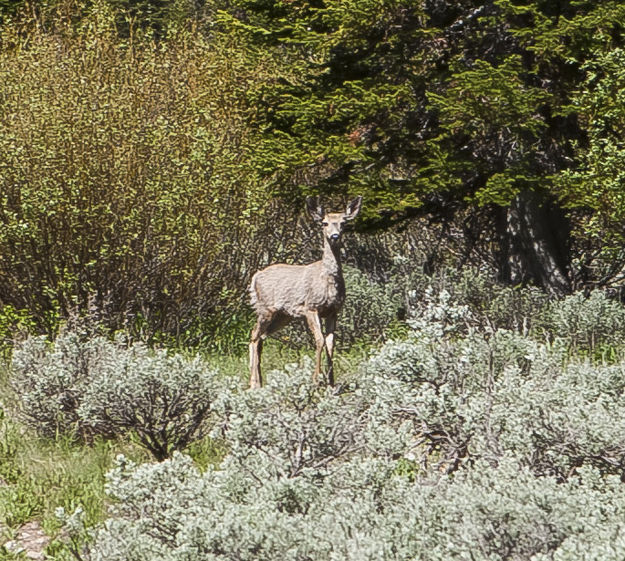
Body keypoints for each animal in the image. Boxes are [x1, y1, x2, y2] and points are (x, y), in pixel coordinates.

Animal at [249, 195, 364, 388]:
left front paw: (331, 382)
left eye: (343, 223)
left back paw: (259, 381)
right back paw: (254, 383)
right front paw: (316, 380)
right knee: (254, 336)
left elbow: (330, 343)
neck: (327, 279)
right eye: (324, 223)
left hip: (283, 315)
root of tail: (255, 277)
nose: (335, 236)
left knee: (260, 338)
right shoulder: (311, 307)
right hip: (265, 308)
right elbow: (319, 340)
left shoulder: (333, 311)